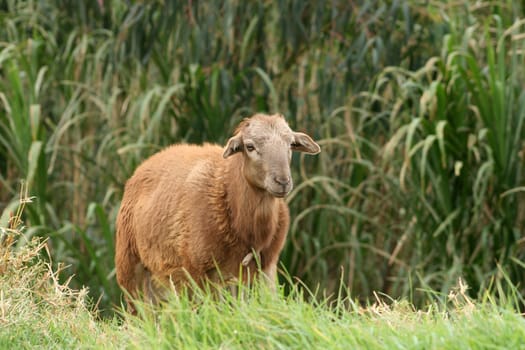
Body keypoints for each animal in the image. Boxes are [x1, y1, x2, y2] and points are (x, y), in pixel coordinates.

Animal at [114, 113, 320, 308]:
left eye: (291, 144)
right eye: (249, 146)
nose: (282, 181)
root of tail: (147, 162)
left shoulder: (265, 265)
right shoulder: (199, 270)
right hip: (130, 267)